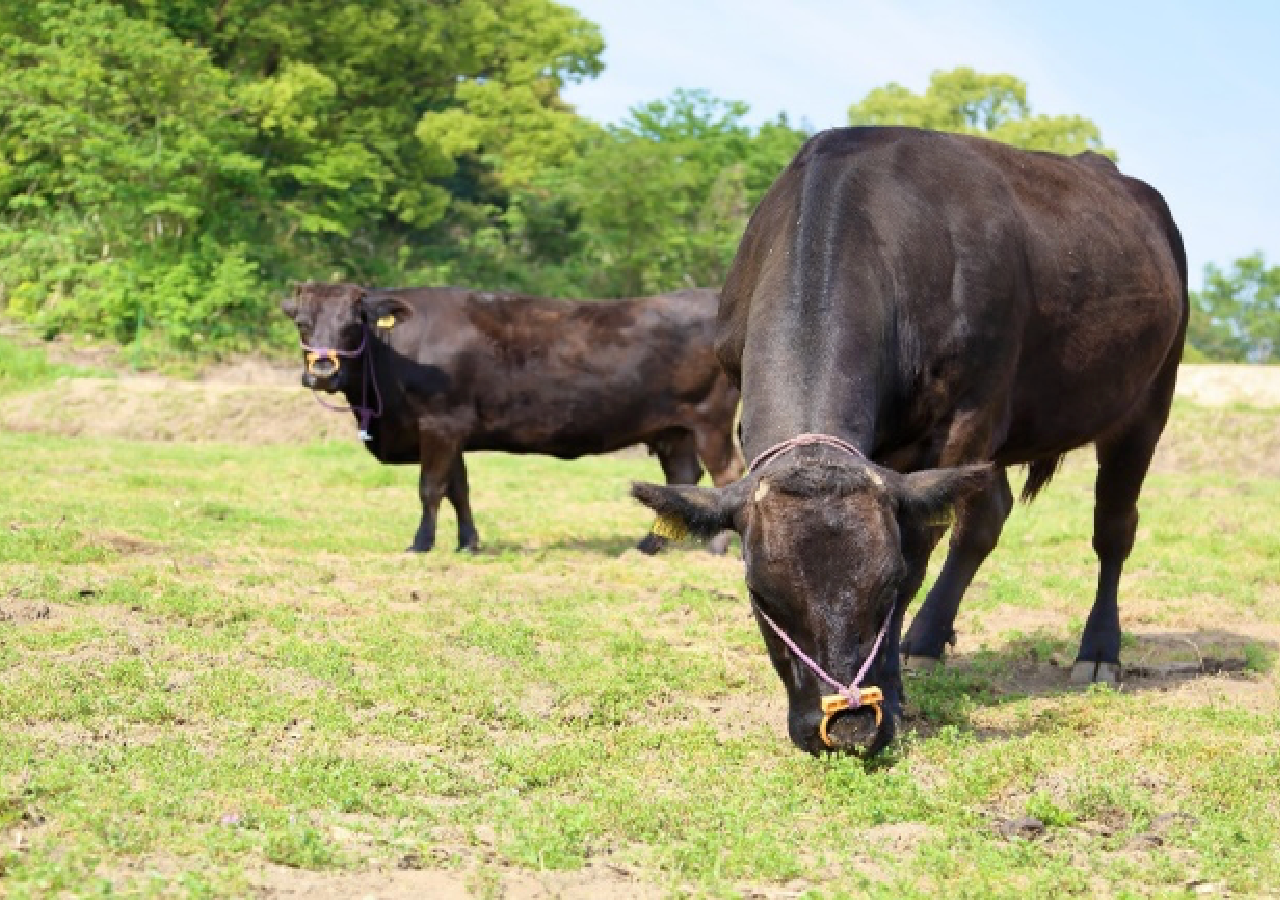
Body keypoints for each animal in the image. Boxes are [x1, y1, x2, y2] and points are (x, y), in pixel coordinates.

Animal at [280, 285, 742, 553]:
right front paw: (467, 543)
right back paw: (647, 546)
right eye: (302, 323)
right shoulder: (453, 432)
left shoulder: (439, 423)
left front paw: (421, 543)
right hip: (674, 430)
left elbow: (431, 488)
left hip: (710, 422)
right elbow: (459, 489)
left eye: (352, 323)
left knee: (726, 475)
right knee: (681, 479)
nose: (322, 372)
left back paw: (717, 547)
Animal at [629, 126, 1187, 757]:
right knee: (986, 518)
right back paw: (926, 639)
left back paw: (1098, 651)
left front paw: (892, 693)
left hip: (1147, 401)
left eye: (888, 582)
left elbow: (920, 550)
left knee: (1113, 528)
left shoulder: (965, 418)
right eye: (760, 594)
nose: (847, 726)